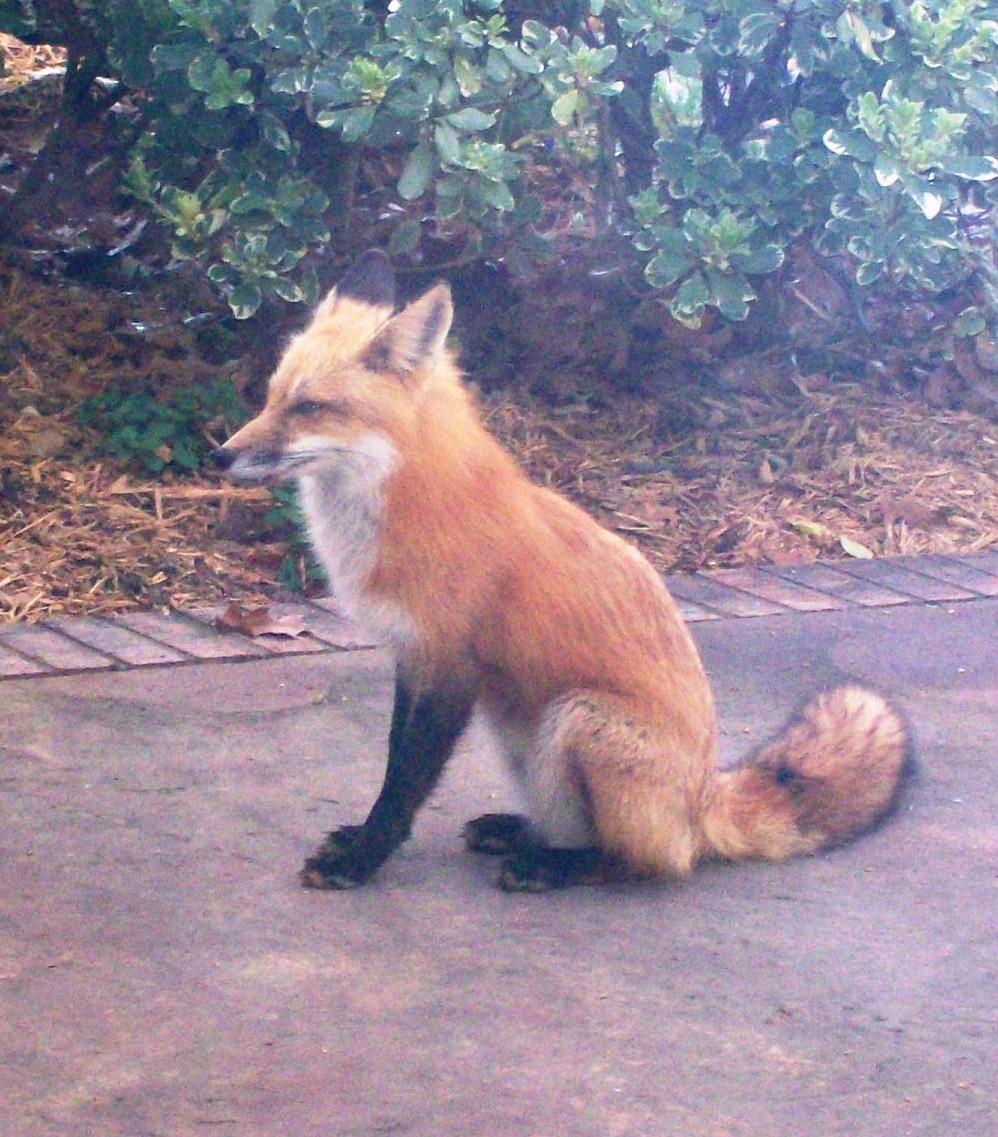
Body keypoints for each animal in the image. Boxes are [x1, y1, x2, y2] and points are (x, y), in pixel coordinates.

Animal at [215, 249, 911, 892]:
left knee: (646, 862)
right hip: (523, 735)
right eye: (272, 396)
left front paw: (363, 858)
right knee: (577, 827)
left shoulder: (450, 664)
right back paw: (517, 832)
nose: (221, 455)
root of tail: (705, 801)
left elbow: (407, 778)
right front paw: (362, 841)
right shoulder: (411, 657)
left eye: (310, 406)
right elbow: (392, 761)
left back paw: (551, 866)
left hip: (579, 719)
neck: (407, 504)